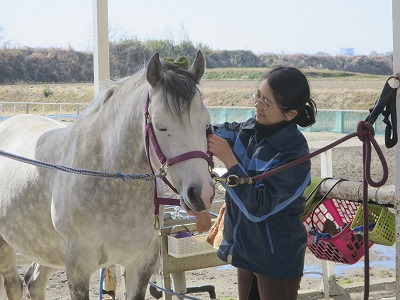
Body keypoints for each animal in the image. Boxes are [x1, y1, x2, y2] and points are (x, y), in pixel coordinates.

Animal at [0, 50, 216, 298]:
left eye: (206, 124)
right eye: (161, 126)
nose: (202, 194)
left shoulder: (141, 264)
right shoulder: (78, 268)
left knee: (34, 282)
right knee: (14, 285)